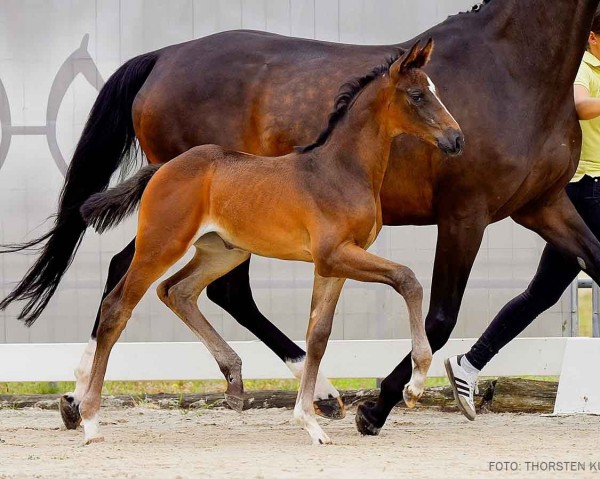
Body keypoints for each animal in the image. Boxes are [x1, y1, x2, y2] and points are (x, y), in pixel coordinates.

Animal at [79, 41, 464, 446]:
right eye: (417, 95)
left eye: (434, 89)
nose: (456, 140)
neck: (341, 171)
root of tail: (163, 168)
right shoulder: (335, 254)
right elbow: (408, 279)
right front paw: (415, 385)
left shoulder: (334, 264)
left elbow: (318, 334)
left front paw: (311, 422)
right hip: (160, 245)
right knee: (117, 308)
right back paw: (89, 420)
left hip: (223, 252)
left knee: (176, 291)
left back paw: (234, 379)